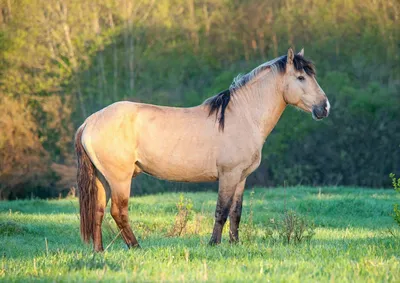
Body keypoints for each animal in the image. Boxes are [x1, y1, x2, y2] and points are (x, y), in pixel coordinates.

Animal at [75, 48, 332, 253]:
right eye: (300, 77)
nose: (325, 107)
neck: (243, 116)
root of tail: (89, 122)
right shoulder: (228, 175)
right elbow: (221, 210)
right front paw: (214, 244)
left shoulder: (241, 178)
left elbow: (236, 212)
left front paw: (235, 244)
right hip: (120, 179)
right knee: (119, 212)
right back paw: (136, 247)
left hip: (102, 178)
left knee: (97, 211)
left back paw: (99, 251)